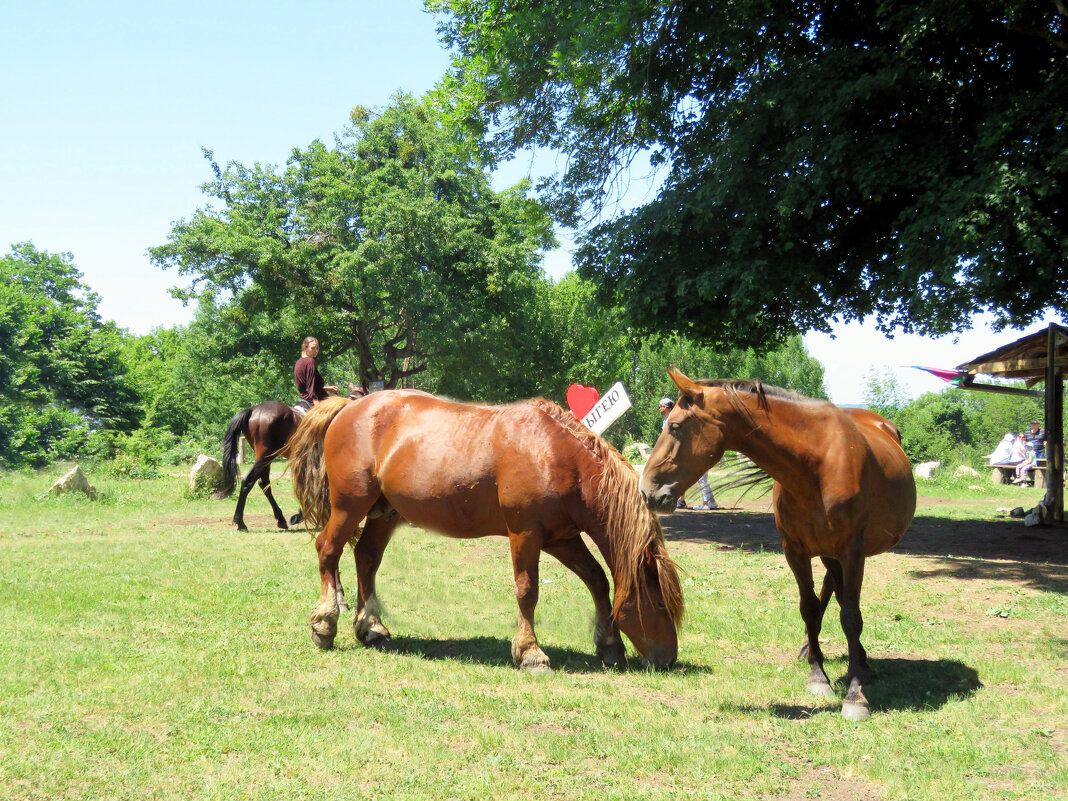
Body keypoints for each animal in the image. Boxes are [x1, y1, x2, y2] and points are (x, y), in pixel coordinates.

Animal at [286, 390, 683, 670]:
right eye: (660, 602)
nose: (668, 659)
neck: (555, 453)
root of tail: (349, 406)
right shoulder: (525, 533)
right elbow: (527, 590)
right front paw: (530, 652)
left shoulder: (562, 537)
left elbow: (598, 580)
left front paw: (610, 645)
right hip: (349, 506)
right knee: (328, 550)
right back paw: (325, 623)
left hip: (384, 513)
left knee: (366, 557)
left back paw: (372, 628)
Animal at [636, 369, 914, 721]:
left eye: (674, 426)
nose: (647, 491)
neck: (816, 465)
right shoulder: (795, 551)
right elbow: (809, 607)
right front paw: (817, 676)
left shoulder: (851, 552)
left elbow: (851, 616)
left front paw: (855, 696)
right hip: (827, 554)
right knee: (831, 591)